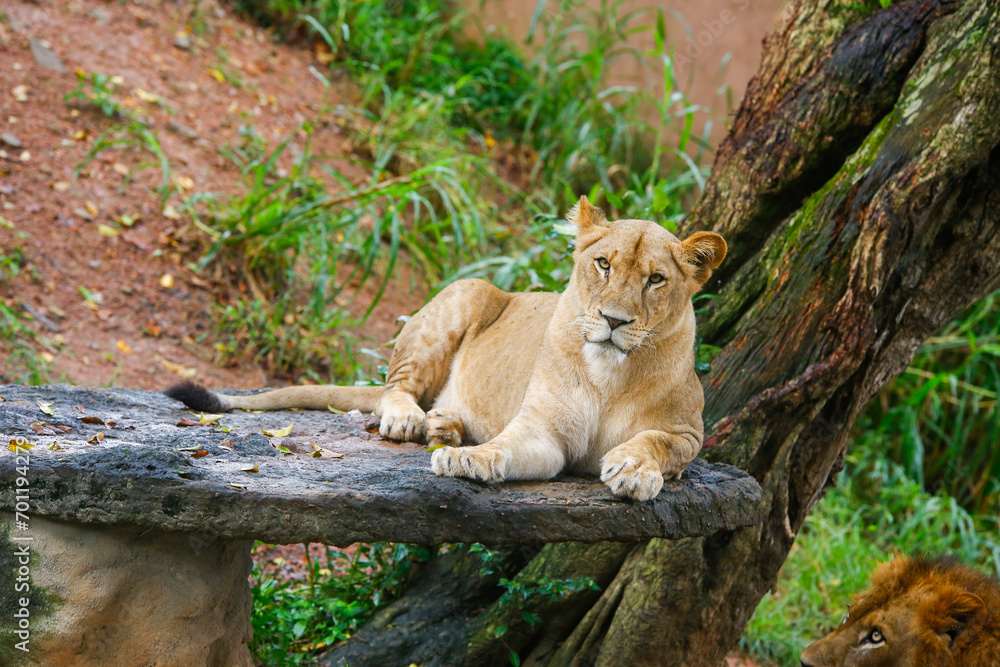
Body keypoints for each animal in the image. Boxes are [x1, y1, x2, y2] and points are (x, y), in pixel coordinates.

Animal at [166, 196, 727, 500]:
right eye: (604, 264)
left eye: (655, 280)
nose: (613, 320)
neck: (609, 372)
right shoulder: (542, 431)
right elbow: (503, 447)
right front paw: (466, 461)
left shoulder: (689, 432)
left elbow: (660, 442)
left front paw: (633, 468)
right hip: (467, 292)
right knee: (393, 387)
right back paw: (414, 422)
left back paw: (445, 426)